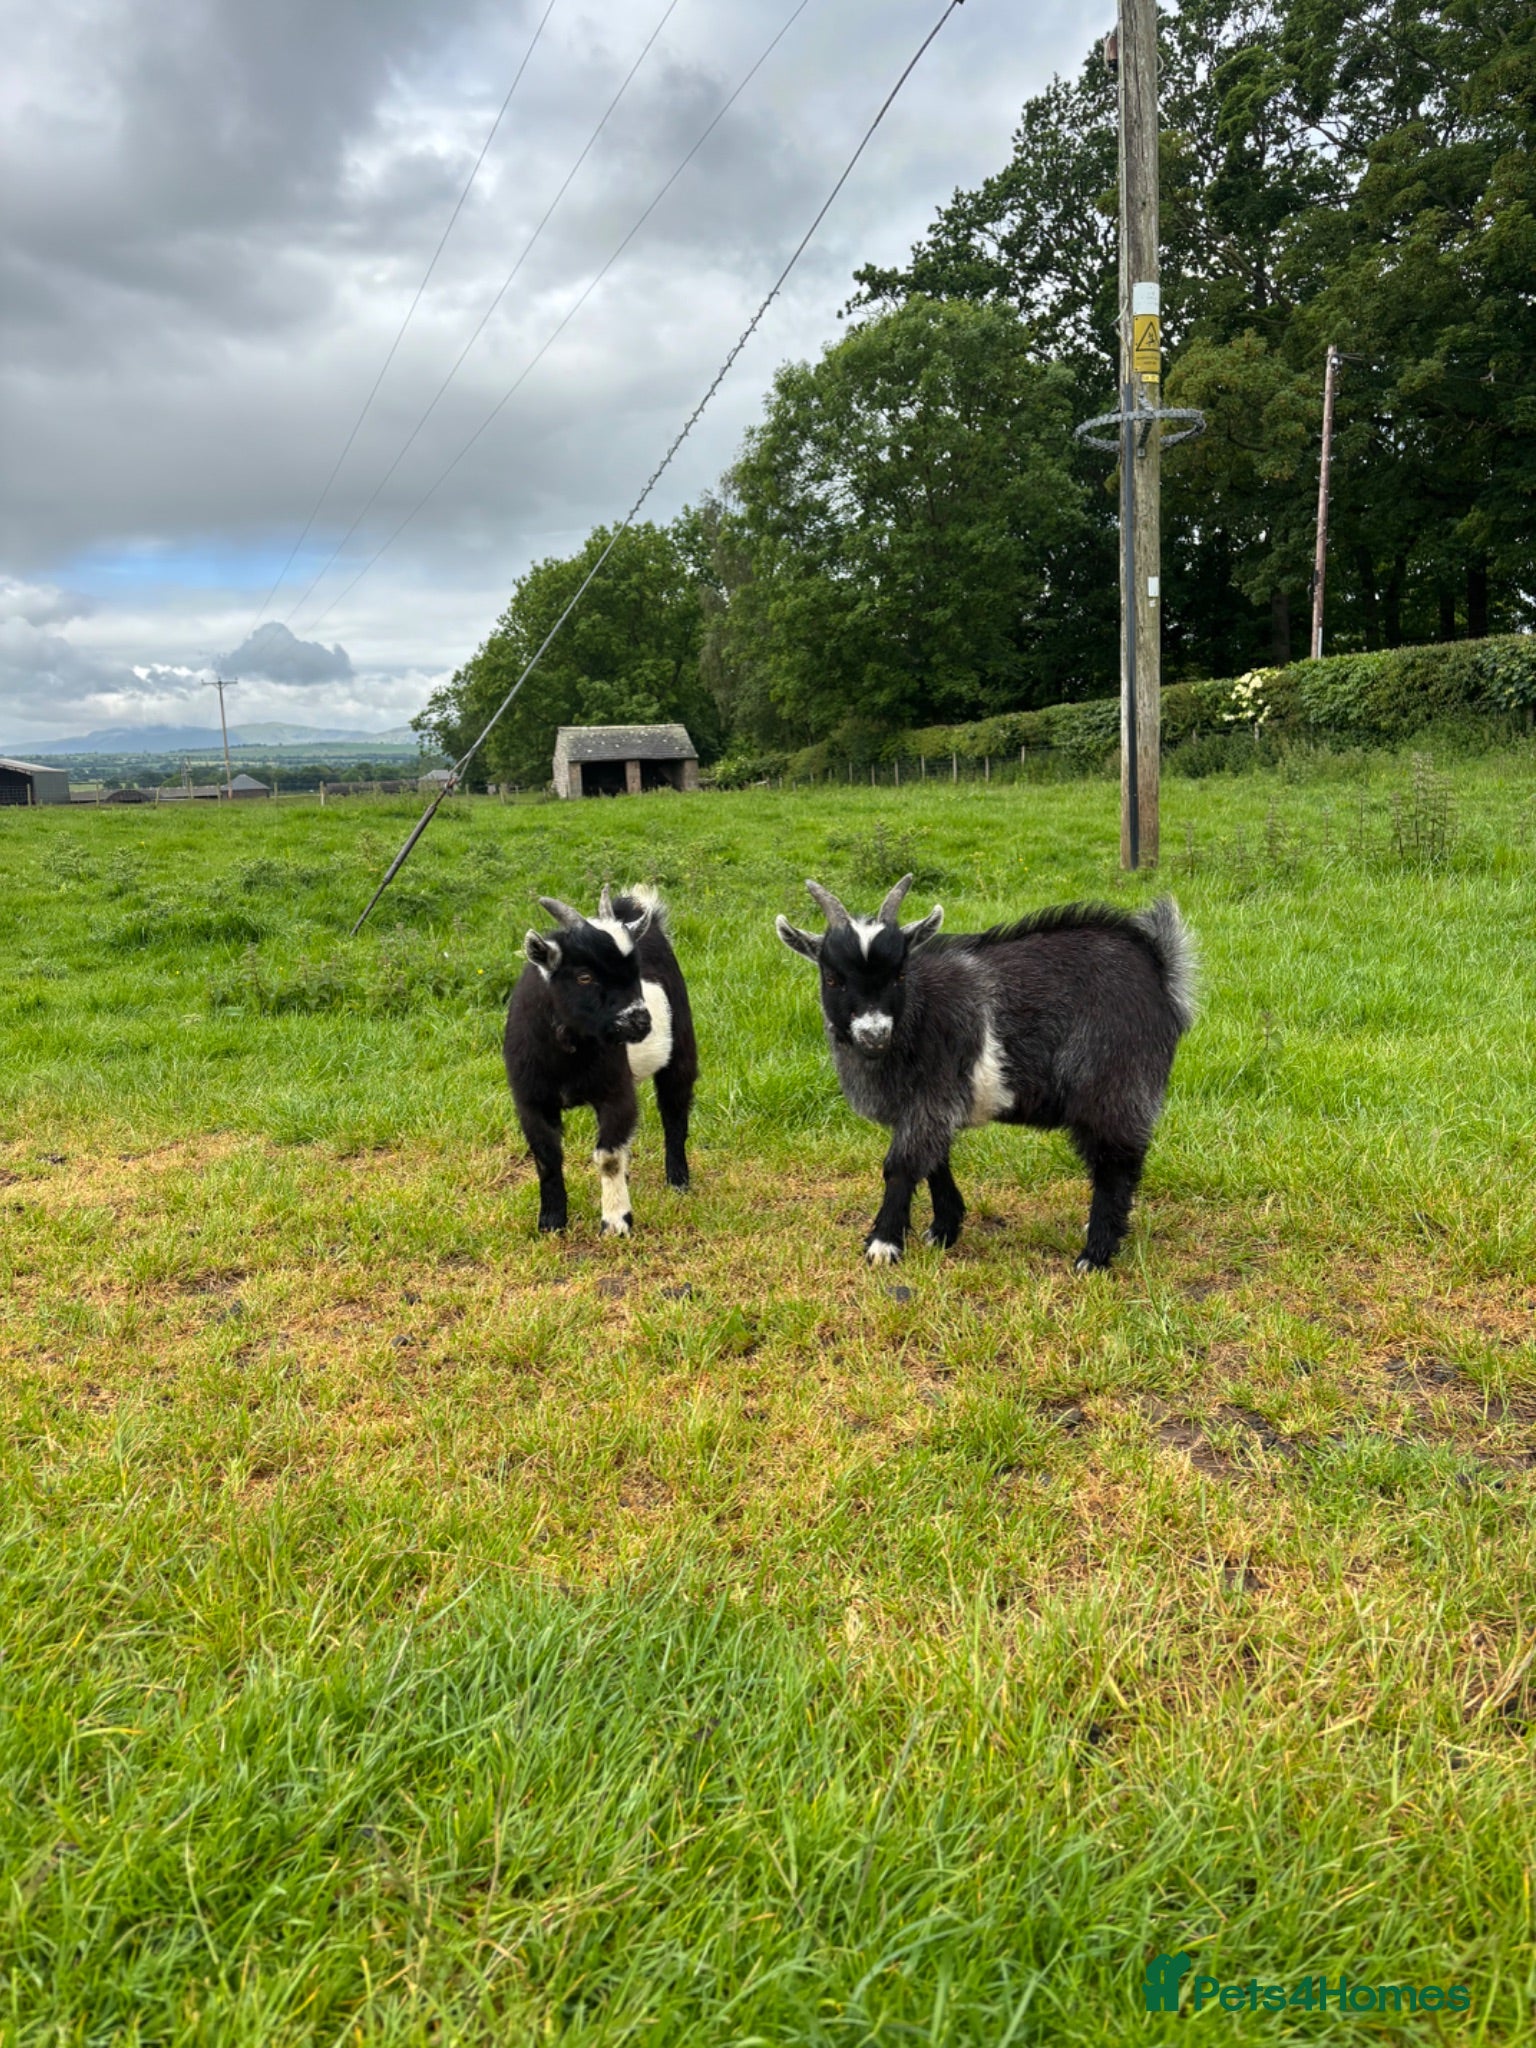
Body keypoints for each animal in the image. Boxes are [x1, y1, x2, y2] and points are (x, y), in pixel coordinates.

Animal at [505, 884, 697, 1236]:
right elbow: (546, 1158)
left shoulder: (615, 1093)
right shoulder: (531, 1101)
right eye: (584, 976)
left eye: (636, 972)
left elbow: (608, 1157)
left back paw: (678, 1181)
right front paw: (551, 1222)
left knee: (674, 1112)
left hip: (681, 1049)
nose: (640, 1021)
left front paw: (616, 1223)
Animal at [776, 875, 1195, 1271]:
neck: (916, 1014)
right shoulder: (930, 1106)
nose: (874, 1035)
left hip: (1114, 1083)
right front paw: (944, 1229)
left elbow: (902, 1165)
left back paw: (1095, 1255)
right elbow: (936, 1160)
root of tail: (1160, 968)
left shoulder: (932, 1095)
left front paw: (883, 1244)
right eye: (833, 978)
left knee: (1116, 1162)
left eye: (899, 975)